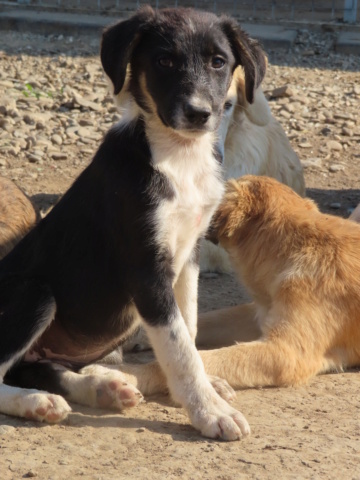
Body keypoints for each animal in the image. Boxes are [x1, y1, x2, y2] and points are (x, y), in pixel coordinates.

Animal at [0, 6, 264, 438]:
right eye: (164, 61)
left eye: (218, 62)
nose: (199, 114)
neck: (178, 156)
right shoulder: (145, 270)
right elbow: (178, 346)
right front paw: (209, 411)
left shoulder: (189, 255)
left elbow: (189, 328)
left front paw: (206, 389)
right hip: (35, 295)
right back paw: (37, 403)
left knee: (35, 368)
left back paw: (102, 387)